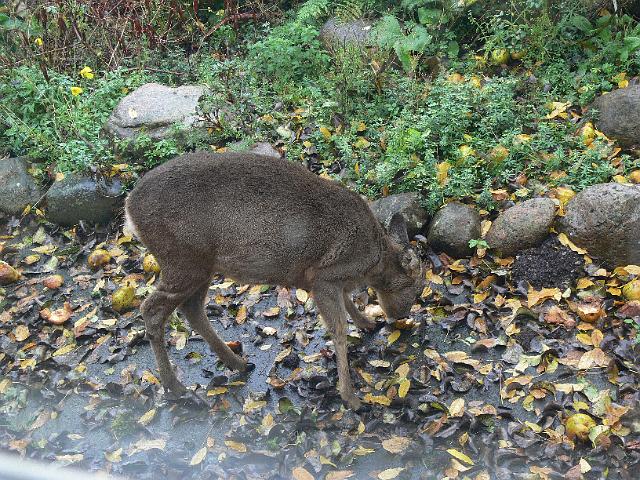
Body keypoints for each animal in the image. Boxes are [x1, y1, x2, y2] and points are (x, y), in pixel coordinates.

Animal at [124, 151, 423, 409]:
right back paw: (175, 386)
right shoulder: (322, 276)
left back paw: (237, 363)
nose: (401, 315)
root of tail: (129, 207)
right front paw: (351, 397)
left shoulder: (323, 280)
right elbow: (338, 330)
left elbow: (347, 303)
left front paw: (367, 323)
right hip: (182, 260)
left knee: (191, 308)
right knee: (151, 309)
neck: (373, 259)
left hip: (202, 266)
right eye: (416, 288)